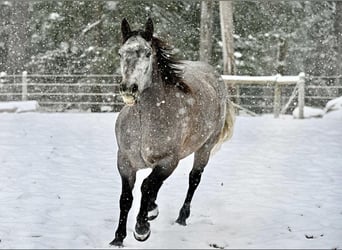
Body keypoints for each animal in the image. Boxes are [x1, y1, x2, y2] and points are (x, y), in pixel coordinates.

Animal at [110, 17, 235, 246]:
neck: (144, 121)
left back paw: (181, 218)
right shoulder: (124, 161)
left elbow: (147, 186)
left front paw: (142, 229)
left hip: (204, 148)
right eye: (121, 53)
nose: (128, 89)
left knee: (193, 179)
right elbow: (126, 198)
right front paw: (118, 238)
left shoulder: (168, 161)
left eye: (147, 53)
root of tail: (216, 77)